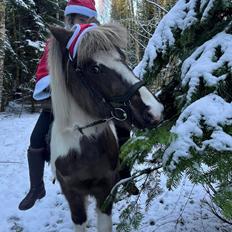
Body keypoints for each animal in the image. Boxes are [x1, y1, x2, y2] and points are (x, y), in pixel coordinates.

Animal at [47, 22, 163, 231]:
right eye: (94, 69)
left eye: (122, 57)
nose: (154, 110)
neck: (83, 149)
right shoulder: (72, 193)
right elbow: (79, 219)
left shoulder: (105, 190)